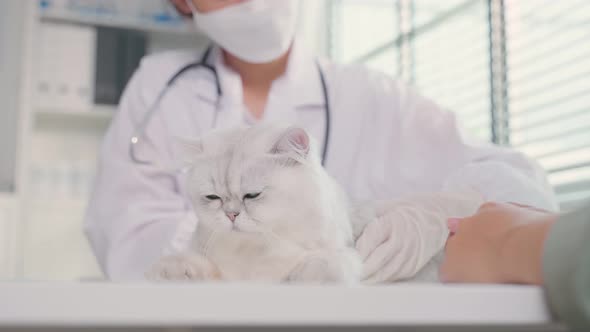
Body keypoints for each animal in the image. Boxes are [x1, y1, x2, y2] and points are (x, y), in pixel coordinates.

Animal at [149, 124, 360, 282]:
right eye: (213, 197)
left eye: (252, 195)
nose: (231, 214)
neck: (255, 249)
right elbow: (195, 265)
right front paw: (171, 271)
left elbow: (325, 264)